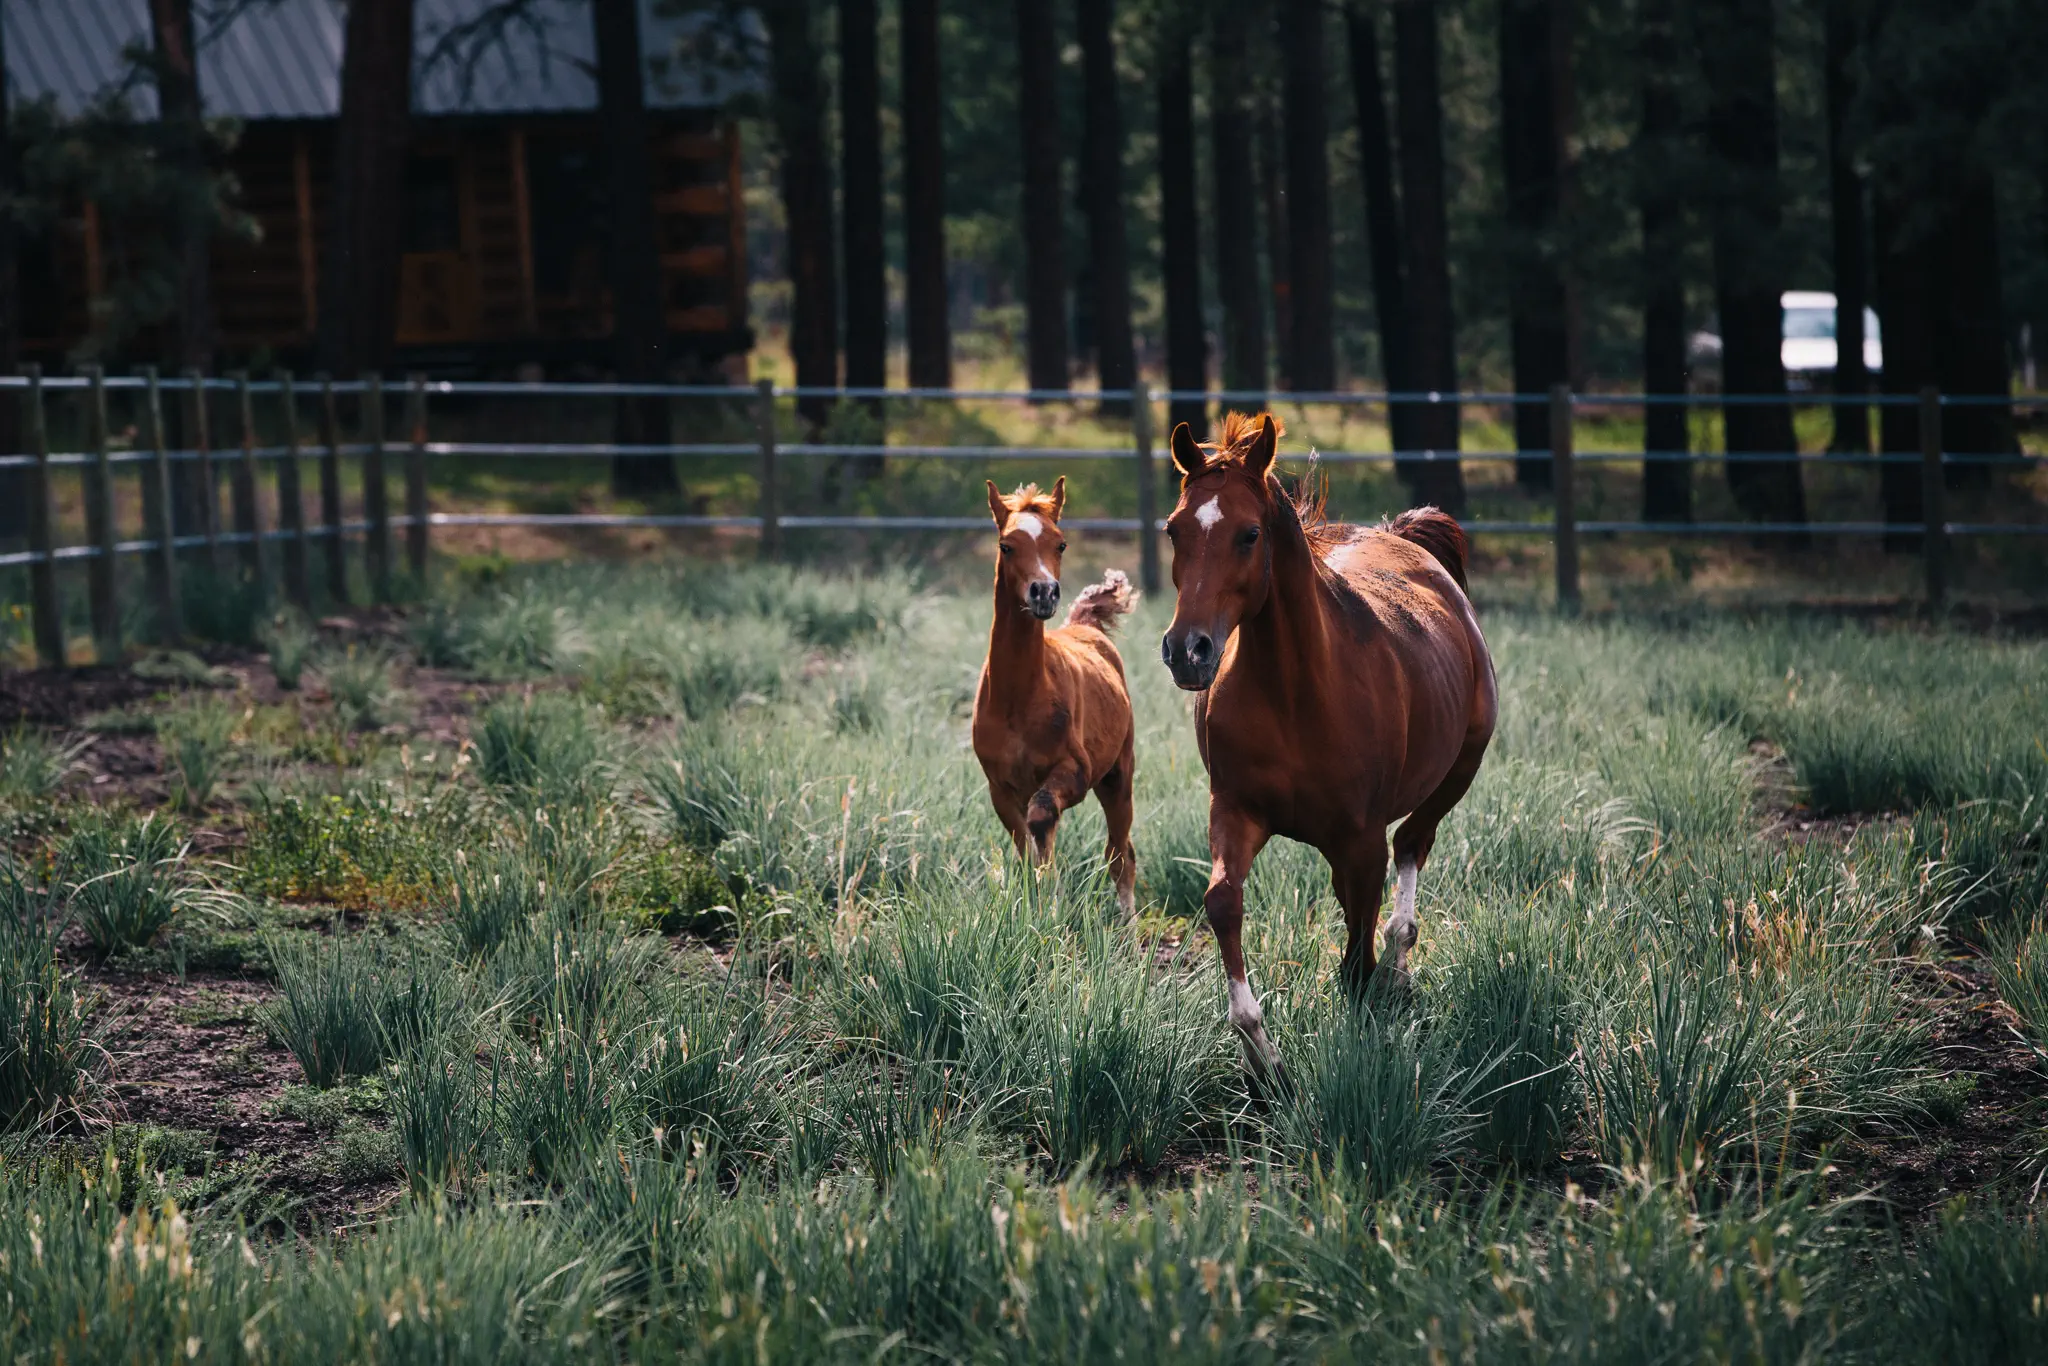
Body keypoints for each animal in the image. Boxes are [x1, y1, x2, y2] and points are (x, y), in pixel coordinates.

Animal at [973, 478, 1141, 915]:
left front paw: (1051, 897)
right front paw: (1037, 900)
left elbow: (1041, 818)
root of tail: (1086, 626)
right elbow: (1024, 851)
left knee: (1121, 856)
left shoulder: (1075, 772)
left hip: (1118, 775)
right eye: (1006, 545)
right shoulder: (1000, 789)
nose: (1044, 592)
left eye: (1061, 544)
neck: (1018, 698)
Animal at [1157, 413, 1496, 1072]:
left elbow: (1357, 952)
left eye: (1250, 534)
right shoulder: (1235, 810)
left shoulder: (1360, 841)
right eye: (1173, 529)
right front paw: (1263, 1058)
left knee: (1413, 845)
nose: (1188, 650)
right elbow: (1222, 902)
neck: (1295, 696)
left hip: (1458, 772)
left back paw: (1399, 969)